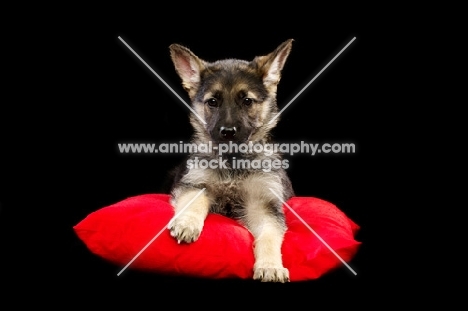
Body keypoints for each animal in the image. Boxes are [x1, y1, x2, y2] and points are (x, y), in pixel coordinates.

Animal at [167, 40, 292, 284]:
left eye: (247, 101)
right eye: (213, 102)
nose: (227, 132)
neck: (233, 163)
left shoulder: (263, 205)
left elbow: (270, 236)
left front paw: (271, 266)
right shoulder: (194, 183)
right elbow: (194, 200)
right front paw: (187, 223)